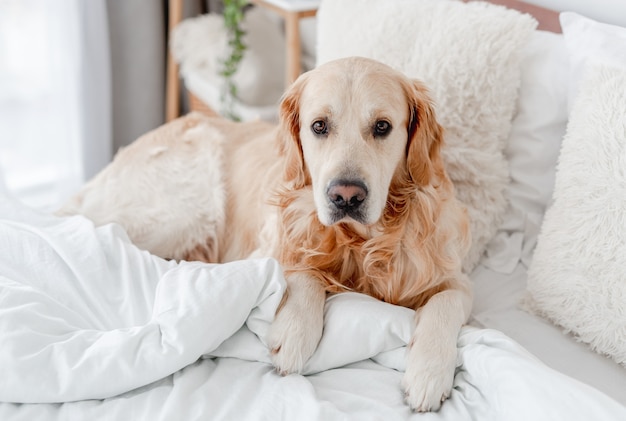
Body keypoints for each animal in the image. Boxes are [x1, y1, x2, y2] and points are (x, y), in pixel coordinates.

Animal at [59, 55, 468, 410]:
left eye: (382, 126)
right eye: (319, 126)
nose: (346, 196)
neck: (360, 241)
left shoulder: (450, 276)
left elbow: (447, 302)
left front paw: (429, 373)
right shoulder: (268, 250)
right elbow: (303, 272)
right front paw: (294, 332)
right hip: (188, 206)